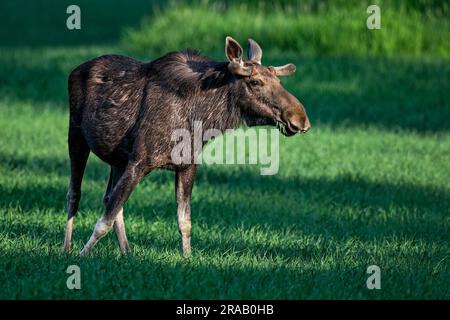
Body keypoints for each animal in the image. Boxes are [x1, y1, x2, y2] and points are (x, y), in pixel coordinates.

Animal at [64, 36, 310, 256]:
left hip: (117, 160)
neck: (201, 118)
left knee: (110, 200)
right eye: (255, 82)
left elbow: (185, 222)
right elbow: (103, 221)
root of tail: (75, 70)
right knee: (75, 194)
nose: (300, 119)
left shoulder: (187, 165)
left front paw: (187, 258)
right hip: (76, 137)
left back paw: (127, 252)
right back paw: (67, 248)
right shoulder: (139, 162)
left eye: (279, 82)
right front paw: (82, 255)